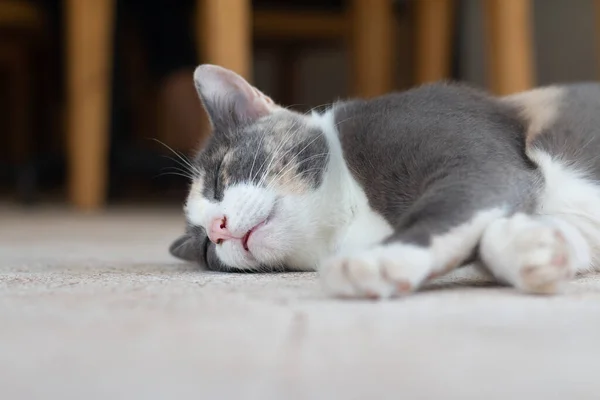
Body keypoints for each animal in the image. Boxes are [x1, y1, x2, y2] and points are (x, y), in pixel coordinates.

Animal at [168, 64, 600, 298]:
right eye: (205, 247)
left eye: (220, 177)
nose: (217, 228)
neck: (349, 216)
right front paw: (535, 245)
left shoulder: (476, 157)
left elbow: (453, 203)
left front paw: (379, 260)